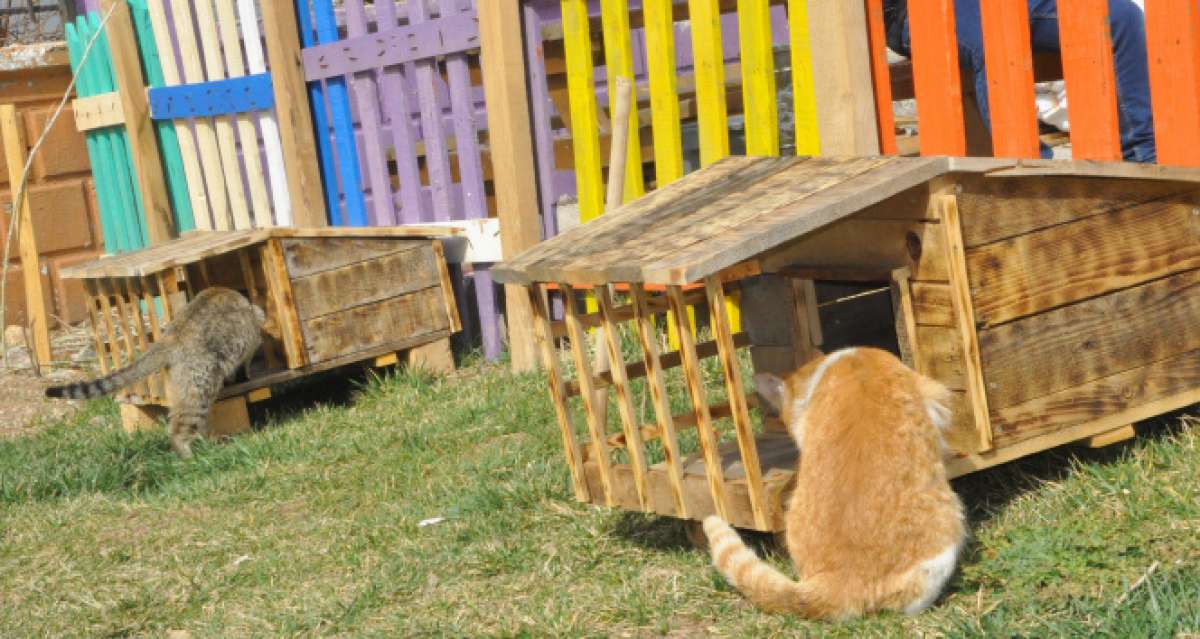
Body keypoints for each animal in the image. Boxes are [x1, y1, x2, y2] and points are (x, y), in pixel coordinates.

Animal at [46, 287, 265, 456]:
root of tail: (171, 337)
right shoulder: (251, 340)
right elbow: (246, 360)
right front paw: (243, 374)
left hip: (183, 383)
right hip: (199, 382)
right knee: (180, 425)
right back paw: (189, 455)